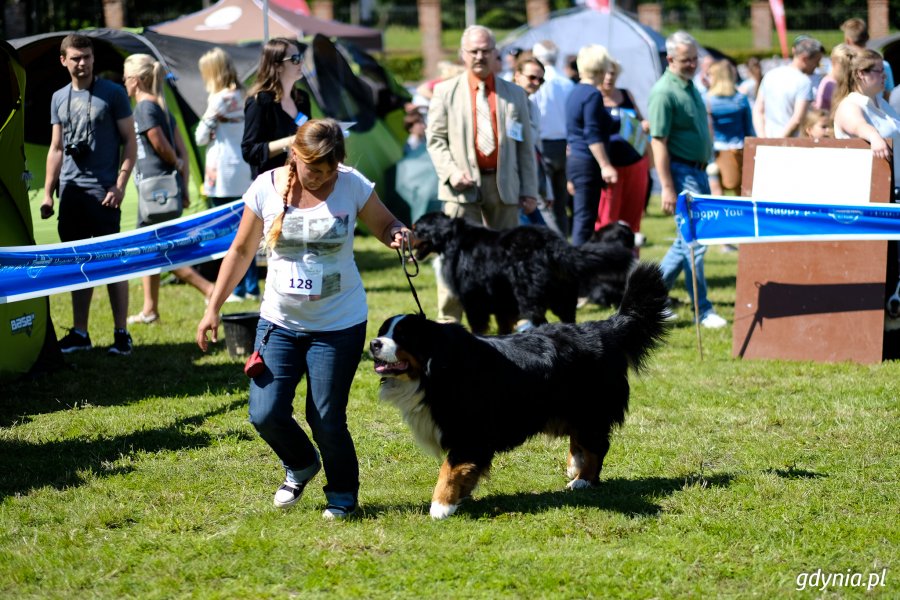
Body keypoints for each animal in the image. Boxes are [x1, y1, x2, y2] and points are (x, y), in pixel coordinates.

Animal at [370, 262, 672, 520]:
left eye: (403, 336)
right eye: (383, 330)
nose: (374, 343)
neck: (434, 368)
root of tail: (604, 328)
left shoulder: (471, 431)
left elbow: (450, 468)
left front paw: (441, 505)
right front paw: (461, 496)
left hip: (590, 409)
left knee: (597, 445)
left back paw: (583, 479)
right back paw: (575, 466)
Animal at [414, 212, 632, 336]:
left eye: (417, 230)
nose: (407, 233)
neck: (451, 239)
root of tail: (552, 243)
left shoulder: (473, 299)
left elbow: (478, 325)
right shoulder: (501, 300)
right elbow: (503, 324)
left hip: (530, 296)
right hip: (563, 296)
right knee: (568, 318)